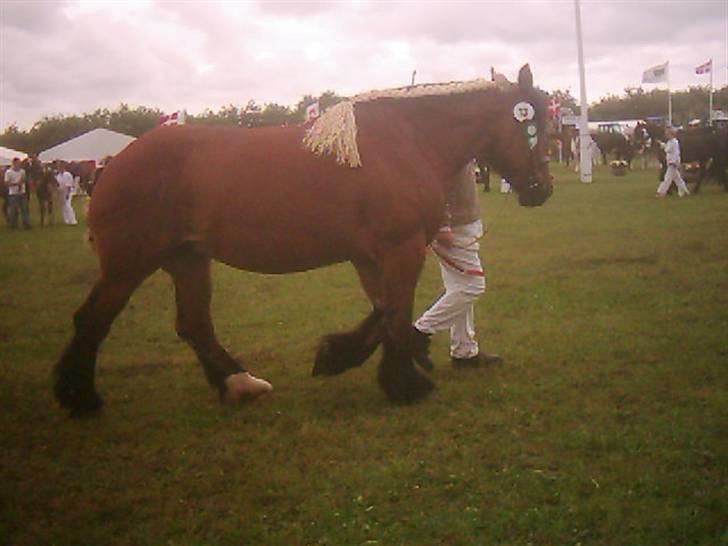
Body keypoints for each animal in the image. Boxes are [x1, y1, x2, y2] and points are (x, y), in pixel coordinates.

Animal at [54, 63, 552, 414]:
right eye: (537, 128)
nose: (541, 190)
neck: (407, 141)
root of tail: (115, 164)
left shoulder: (371, 258)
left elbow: (383, 312)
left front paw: (339, 355)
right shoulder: (401, 250)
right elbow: (394, 314)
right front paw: (406, 383)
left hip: (188, 258)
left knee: (194, 325)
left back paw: (239, 383)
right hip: (129, 265)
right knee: (92, 320)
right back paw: (81, 398)